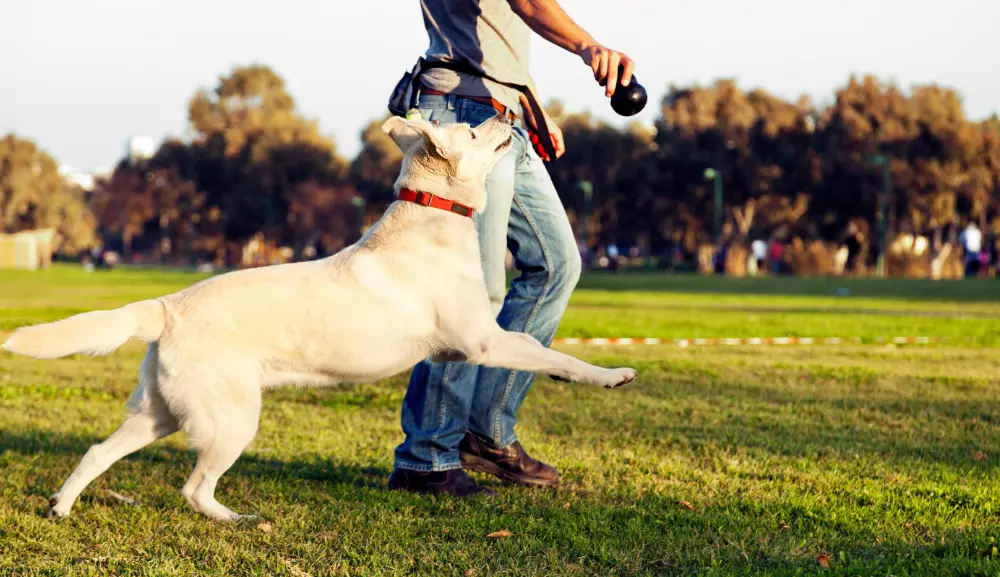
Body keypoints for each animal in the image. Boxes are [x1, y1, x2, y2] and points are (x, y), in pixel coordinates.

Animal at [0, 112, 636, 520]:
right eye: (475, 130)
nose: (508, 113)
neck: (432, 214)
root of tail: (166, 306)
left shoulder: (475, 344)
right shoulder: (483, 341)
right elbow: (551, 354)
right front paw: (611, 375)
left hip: (159, 414)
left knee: (97, 451)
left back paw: (61, 507)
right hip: (231, 419)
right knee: (194, 488)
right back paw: (236, 519)